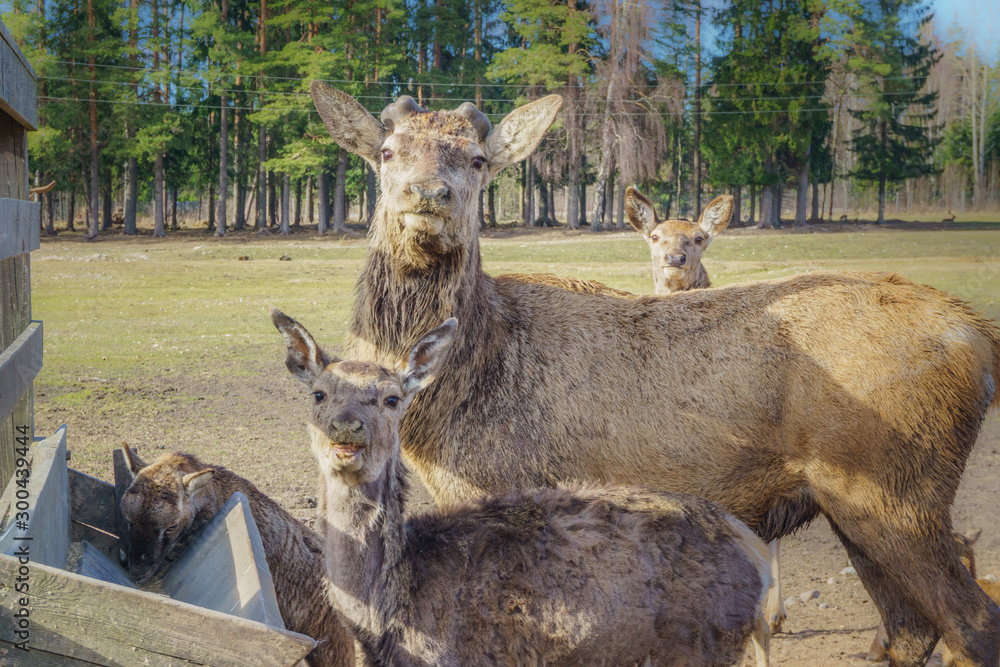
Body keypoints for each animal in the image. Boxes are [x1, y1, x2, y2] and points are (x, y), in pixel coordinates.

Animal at [272, 310, 773, 667]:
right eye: (319, 393)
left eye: (392, 398)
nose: (346, 427)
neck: (385, 622)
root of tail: (757, 554)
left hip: (700, 644)